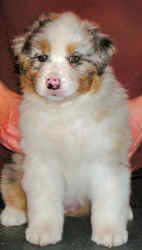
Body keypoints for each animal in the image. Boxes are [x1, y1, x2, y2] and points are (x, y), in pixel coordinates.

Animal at [0, 12, 133, 248]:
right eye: (42, 58)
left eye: (75, 59)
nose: (52, 83)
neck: (67, 110)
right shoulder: (42, 161)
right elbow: (44, 200)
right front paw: (43, 231)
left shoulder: (107, 159)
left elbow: (110, 198)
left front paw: (110, 232)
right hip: (15, 162)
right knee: (10, 184)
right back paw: (12, 213)